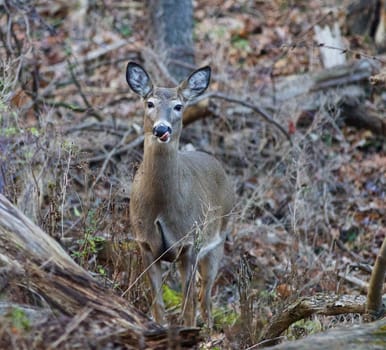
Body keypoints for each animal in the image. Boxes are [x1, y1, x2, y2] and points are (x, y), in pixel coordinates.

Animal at [127, 61, 235, 326]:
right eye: (150, 103)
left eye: (178, 106)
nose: (161, 128)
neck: (161, 207)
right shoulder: (145, 243)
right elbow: (158, 305)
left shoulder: (190, 243)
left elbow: (188, 306)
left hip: (218, 239)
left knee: (205, 298)